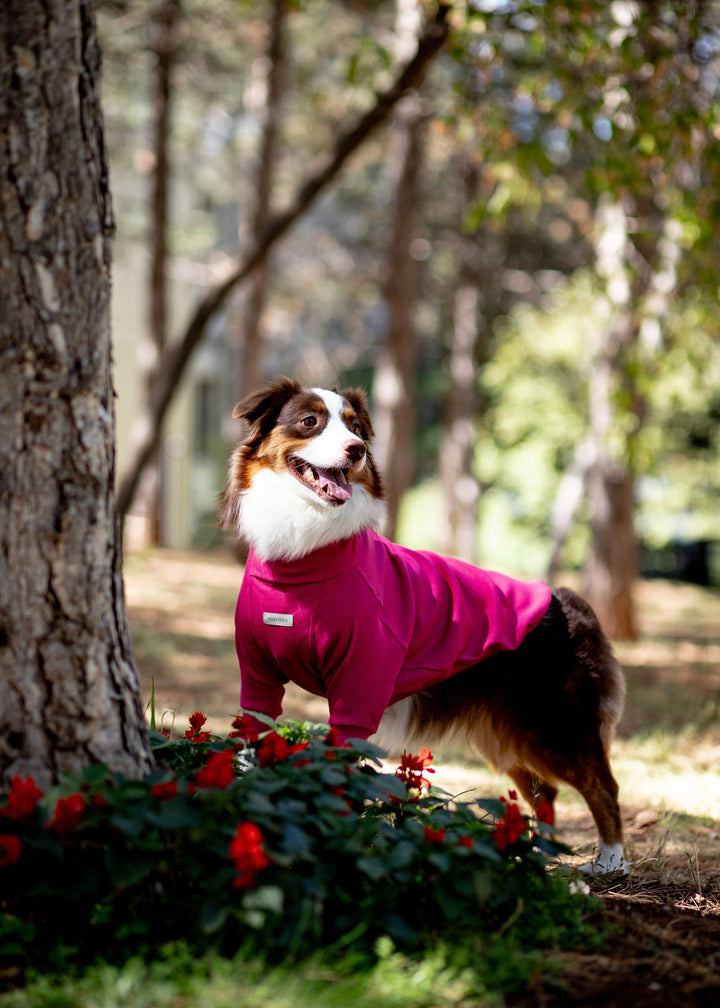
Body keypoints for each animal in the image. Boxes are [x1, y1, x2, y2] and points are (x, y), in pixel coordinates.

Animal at [217, 379, 621, 874]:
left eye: (355, 428)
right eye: (309, 421)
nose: (356, 451)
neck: (303, 556)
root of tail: (566, 597)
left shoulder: (359, 686)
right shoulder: (258, 677)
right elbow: (250, 743)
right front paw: (243, 805)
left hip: (554, 721)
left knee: (602, 786)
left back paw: (609, 862)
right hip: (507, 733)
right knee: (546, 793)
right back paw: (533, 857)